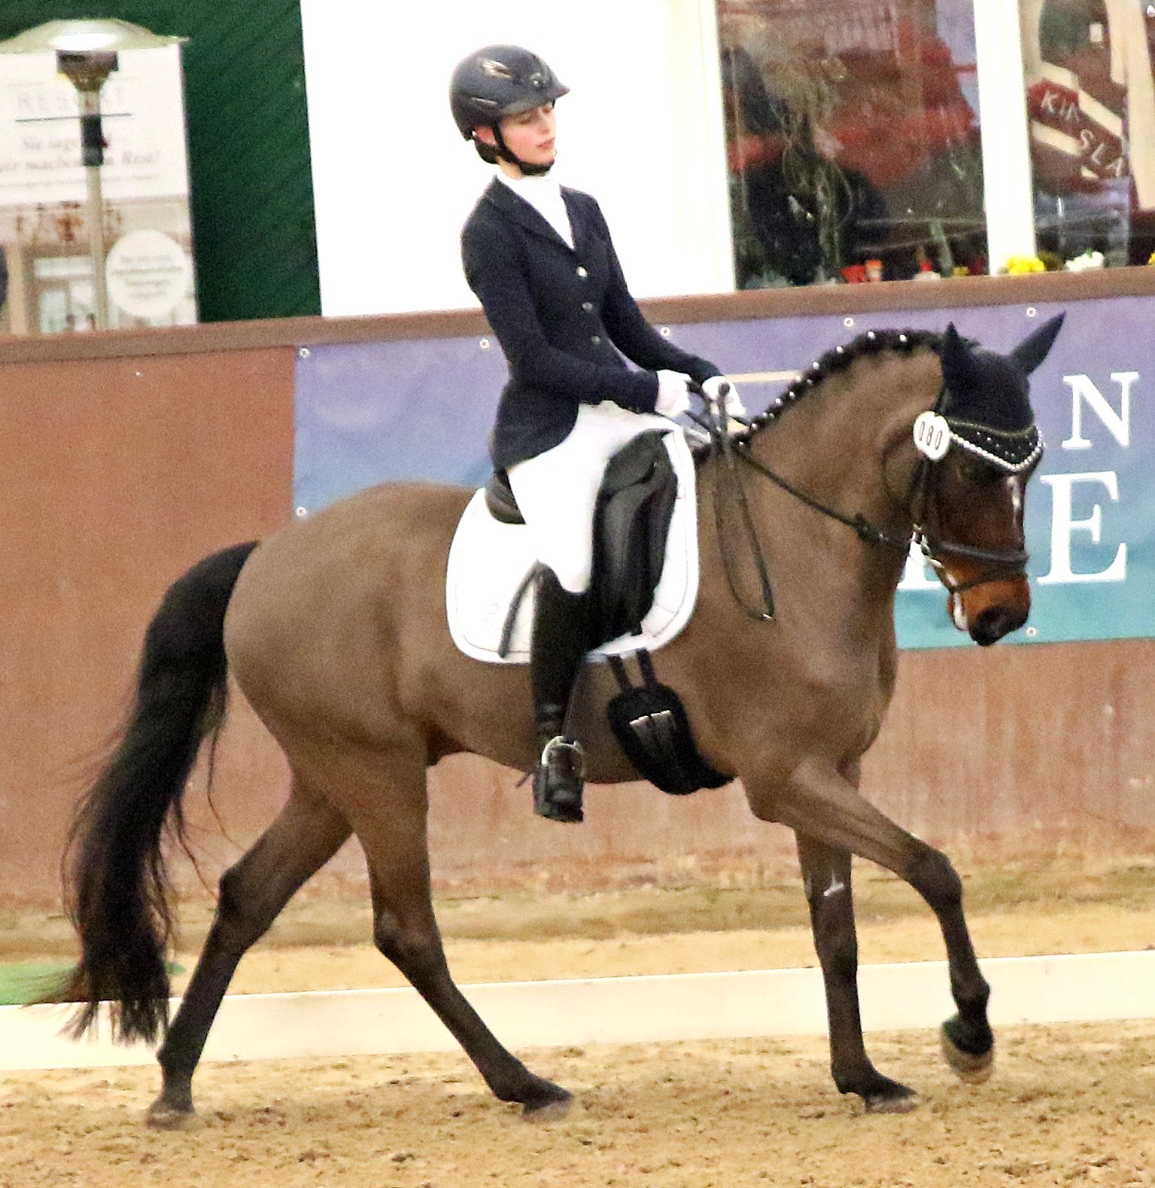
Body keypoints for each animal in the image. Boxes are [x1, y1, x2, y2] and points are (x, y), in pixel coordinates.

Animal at [57, 315, 1063, 1126]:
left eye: (1036, 463)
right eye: (968, 465)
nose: (999, 615)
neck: (796, 541)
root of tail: (265, 554)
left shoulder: (829, 773)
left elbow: (838, 931)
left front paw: (862, 1078)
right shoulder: (785, 779)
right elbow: (934, 871)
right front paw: (968, 1035)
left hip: (331, 778)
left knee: (246, 897)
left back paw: (175, 1083)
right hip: (376, 776)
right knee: (405, 930)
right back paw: (526, 1086)